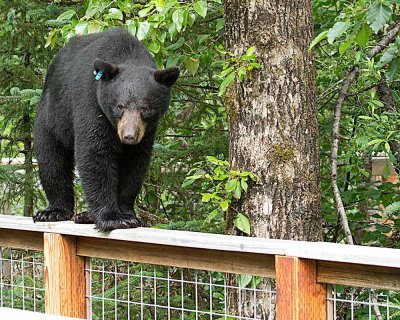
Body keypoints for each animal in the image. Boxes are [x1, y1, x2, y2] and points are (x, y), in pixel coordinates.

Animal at [33, 28, 179, 231]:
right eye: (120, 106)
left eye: (145, 108)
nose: (129, 136)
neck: (127, 54)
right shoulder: (91, 101)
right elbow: (95, 152)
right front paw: (113, 217)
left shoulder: (148, 130)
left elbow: (135, 163)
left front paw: (127, 213)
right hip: (51, 118)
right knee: (52, 161)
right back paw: (54, 210)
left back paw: (85, 215)